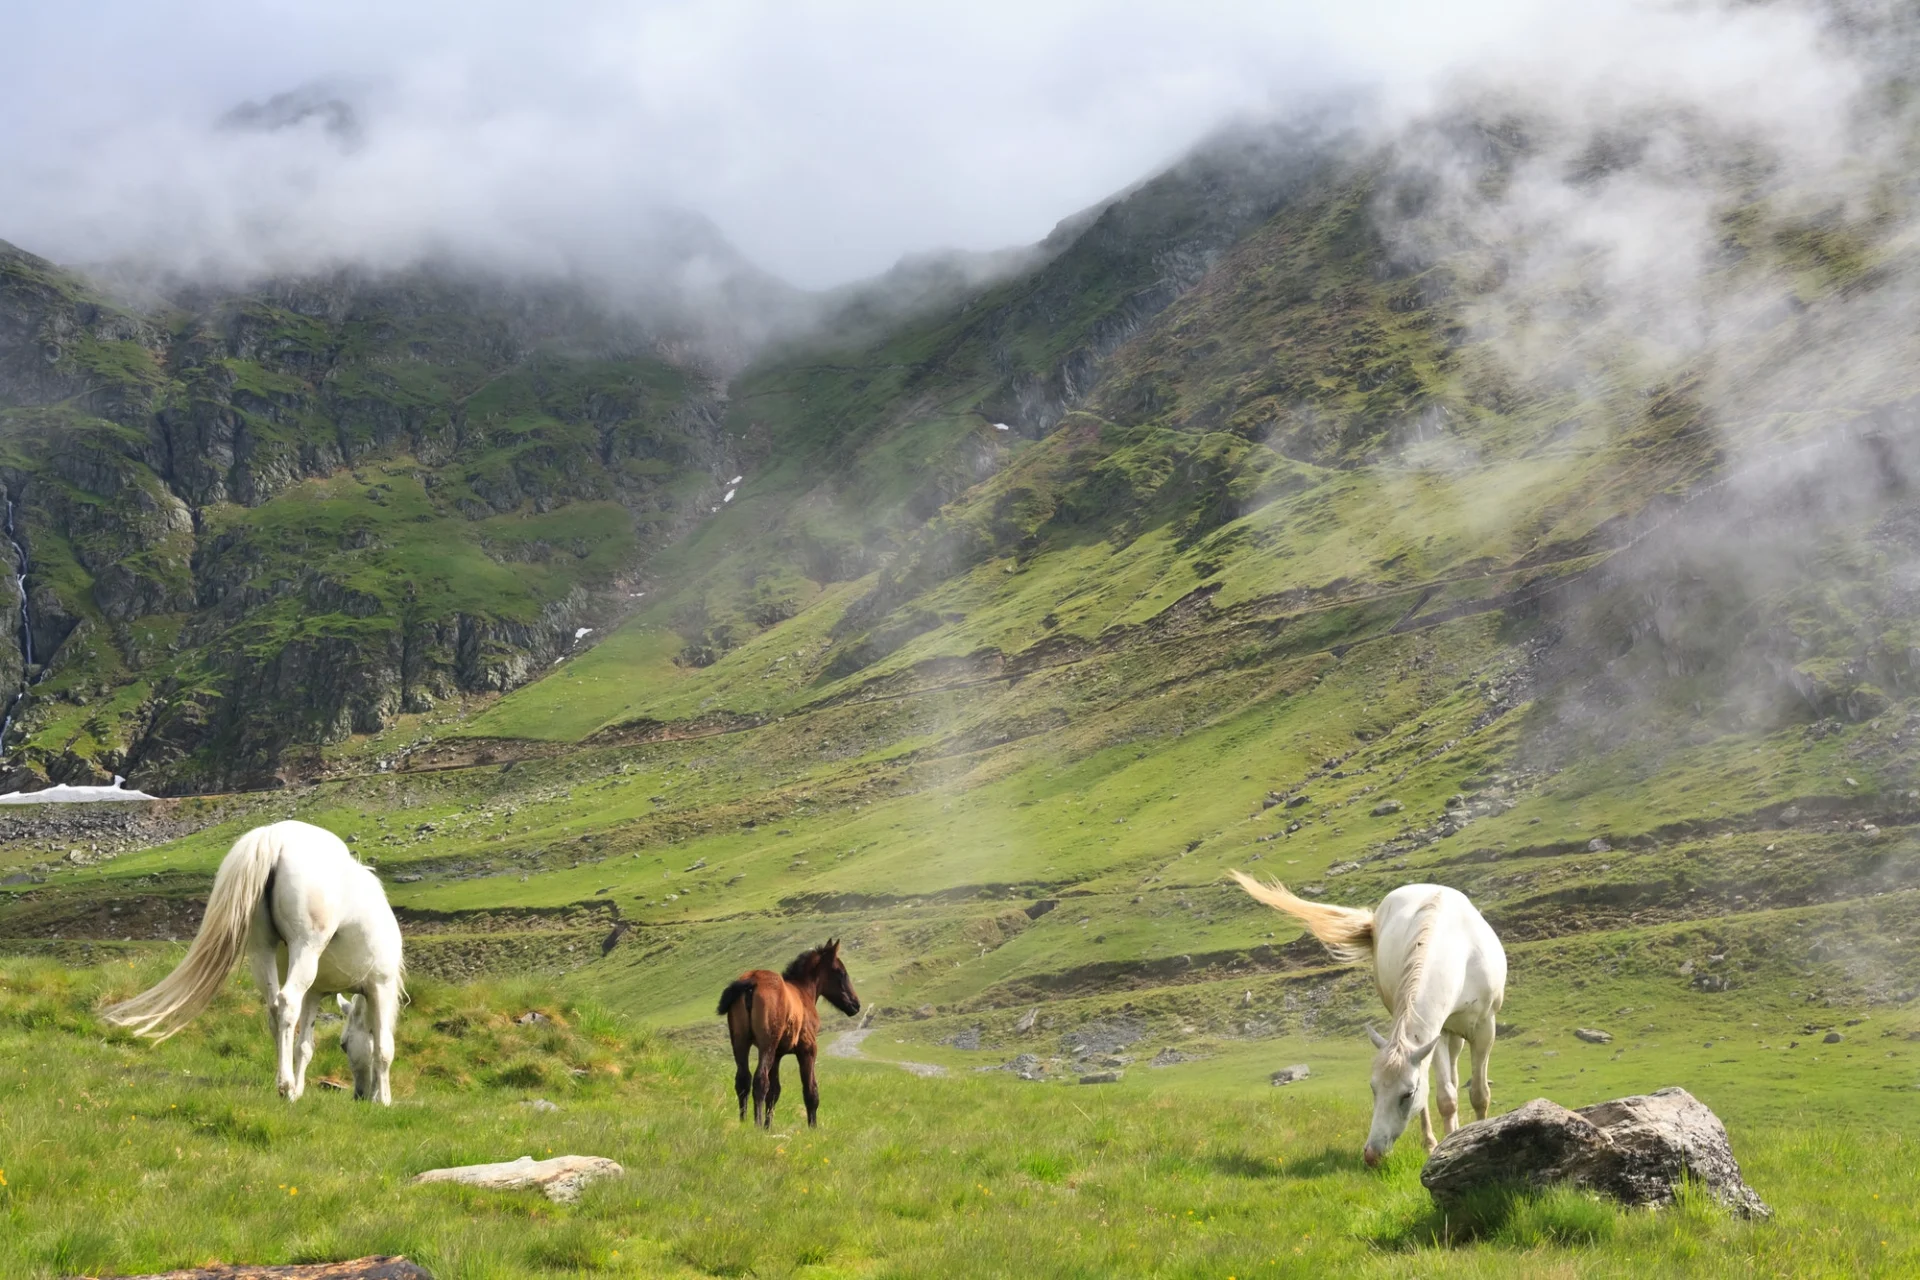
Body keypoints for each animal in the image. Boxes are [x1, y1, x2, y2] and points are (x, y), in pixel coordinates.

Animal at [102, 820, 406, 1105]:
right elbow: (383, 1048)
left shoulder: (315, 992)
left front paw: (301, 1090)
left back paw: (287, 1088)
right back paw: (285, 1086)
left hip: (262, 951)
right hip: (305, 950)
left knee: (274, 1010)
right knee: (286, 1003)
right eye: (343, 1045)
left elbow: (304, 1046)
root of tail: (276, 836)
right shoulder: (381, 987)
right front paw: (385, 1101)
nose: (360, 1096)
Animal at [717, 939, 860, 1128]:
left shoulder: (778, 1055)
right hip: (766, 1045)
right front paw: (813, 1128)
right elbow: (810, 1091)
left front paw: (768, 1127)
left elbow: (774, 1092)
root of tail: (752, 981)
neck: (802, 993)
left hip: (740, 1041)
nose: (856, 1005)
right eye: (841, 973)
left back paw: (743, 1122)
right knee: (760, 1081)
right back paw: (756, 1124)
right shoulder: (807, 1049)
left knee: (743, 1080)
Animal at [1230, 873, 1506, 1166]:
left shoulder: (1485, 1028)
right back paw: (1430, 1141)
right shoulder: (1436, 1034)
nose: (1372, 1154)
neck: (1458, 954)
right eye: (1373, 1088)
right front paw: (1442, 1146)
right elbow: (1446, 1098)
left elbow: (1479, 1096)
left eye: (1407, 1094)